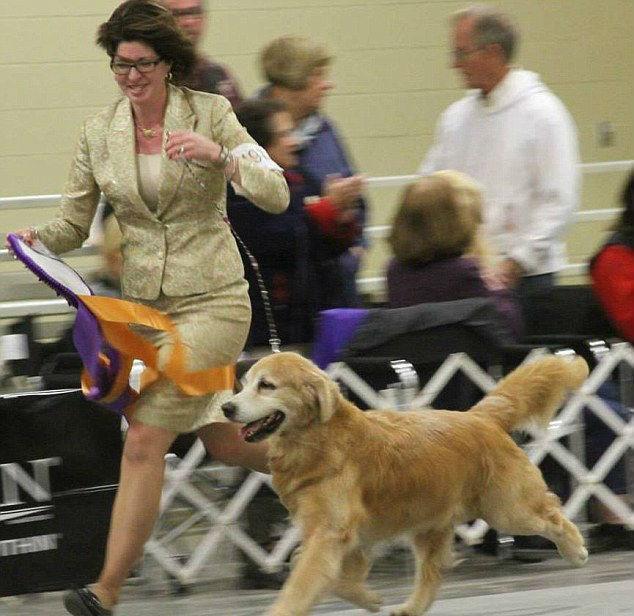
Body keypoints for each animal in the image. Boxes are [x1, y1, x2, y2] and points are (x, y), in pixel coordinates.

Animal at [222, 352, 588, 616]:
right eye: (244, 383)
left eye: (266, 385)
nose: (226, 406)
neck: (318, 440)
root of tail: (480, 418)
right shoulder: (346, 537)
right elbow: (325, 573)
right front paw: (370, 599)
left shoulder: (331, 533)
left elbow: (302, 582)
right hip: (430, 523)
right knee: (432, 574)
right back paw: (410, 609)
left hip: (507, 509)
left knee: (553, 515)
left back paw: (576, 550)